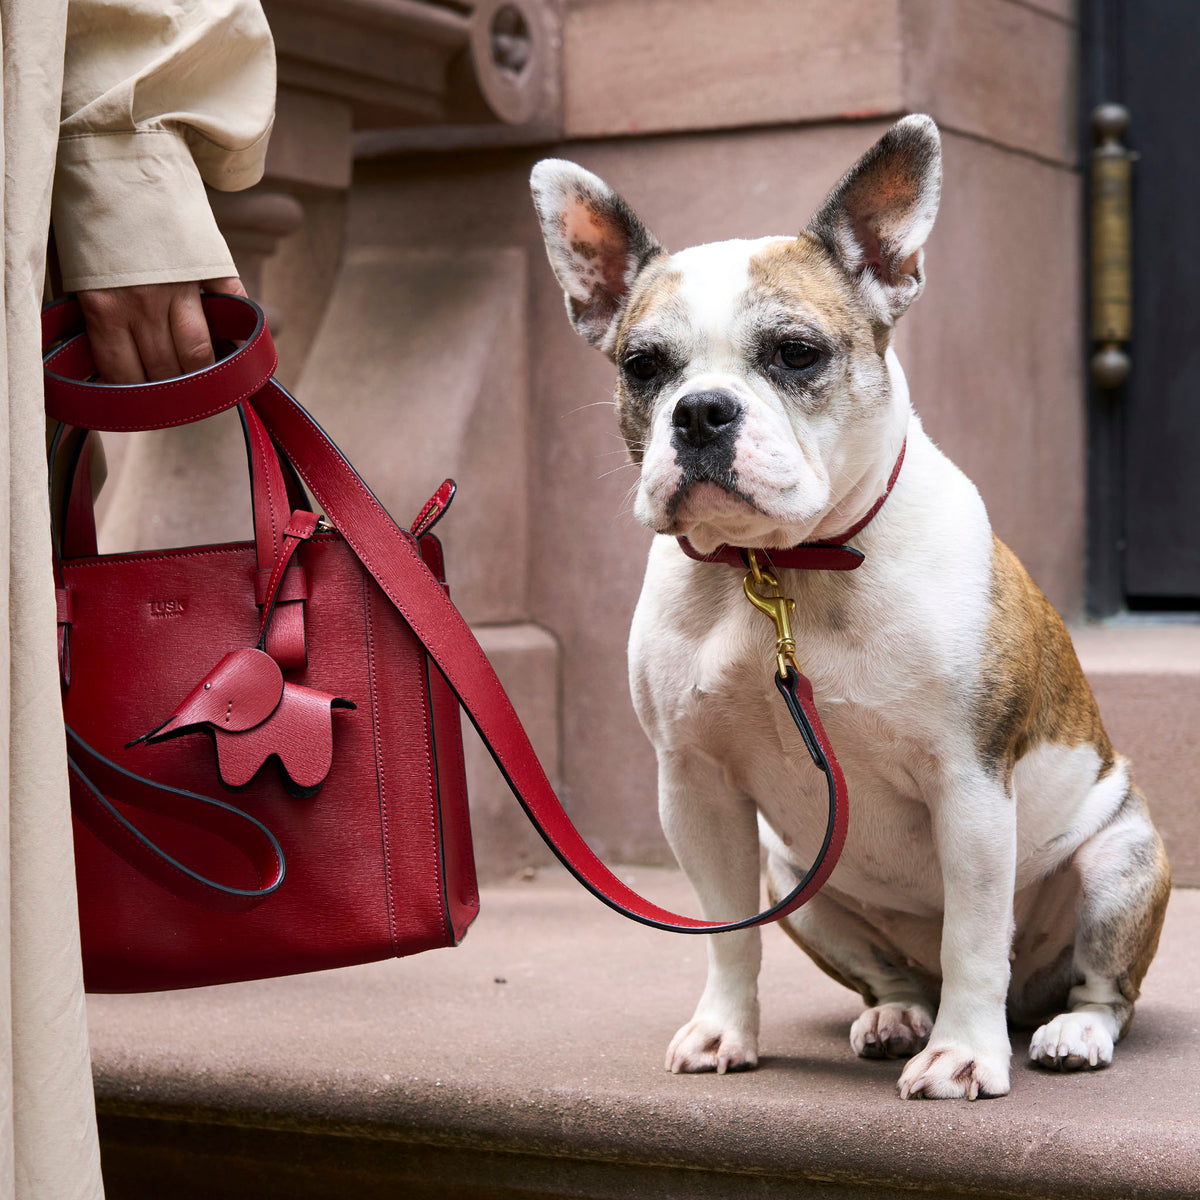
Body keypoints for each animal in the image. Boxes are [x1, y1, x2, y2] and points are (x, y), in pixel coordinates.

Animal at [530, 117, 1166, 1099]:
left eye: (796, 353)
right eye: (642, 367)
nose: (701, 410)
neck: (778, 570)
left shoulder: (970, 786)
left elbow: (975, 934)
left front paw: (965, 1055)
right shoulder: (697, 787)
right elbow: (727, 933)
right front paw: (724, 1029)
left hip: (1123, 860)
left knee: (1095, 984)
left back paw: (1067, 1031)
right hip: (804, 881)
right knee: (898, 970)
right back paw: (899, 1014)